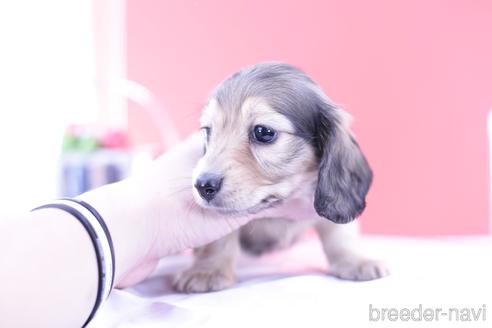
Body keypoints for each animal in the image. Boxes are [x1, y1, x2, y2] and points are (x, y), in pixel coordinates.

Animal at [173, 61, 388, 292]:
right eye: (207, 131)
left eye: (263, 132)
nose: (203, 185)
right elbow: (219, 240)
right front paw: (207, 270)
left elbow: (340, 233)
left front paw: (356, 260)